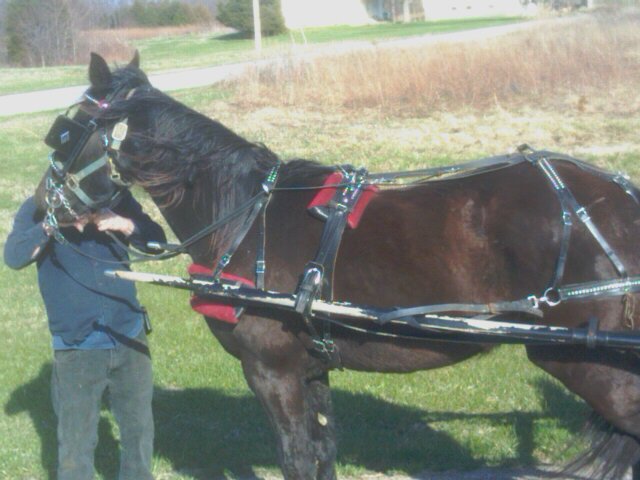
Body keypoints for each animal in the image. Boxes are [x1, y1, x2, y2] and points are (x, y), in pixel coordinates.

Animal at [36, 50, 640, 478]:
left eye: (63, 133)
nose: (43, 206)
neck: (243, 216)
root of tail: (618, 200)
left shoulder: (271, 371)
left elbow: (298, 457)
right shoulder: (312, 368)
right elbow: (323, 450)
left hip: (584, 361)